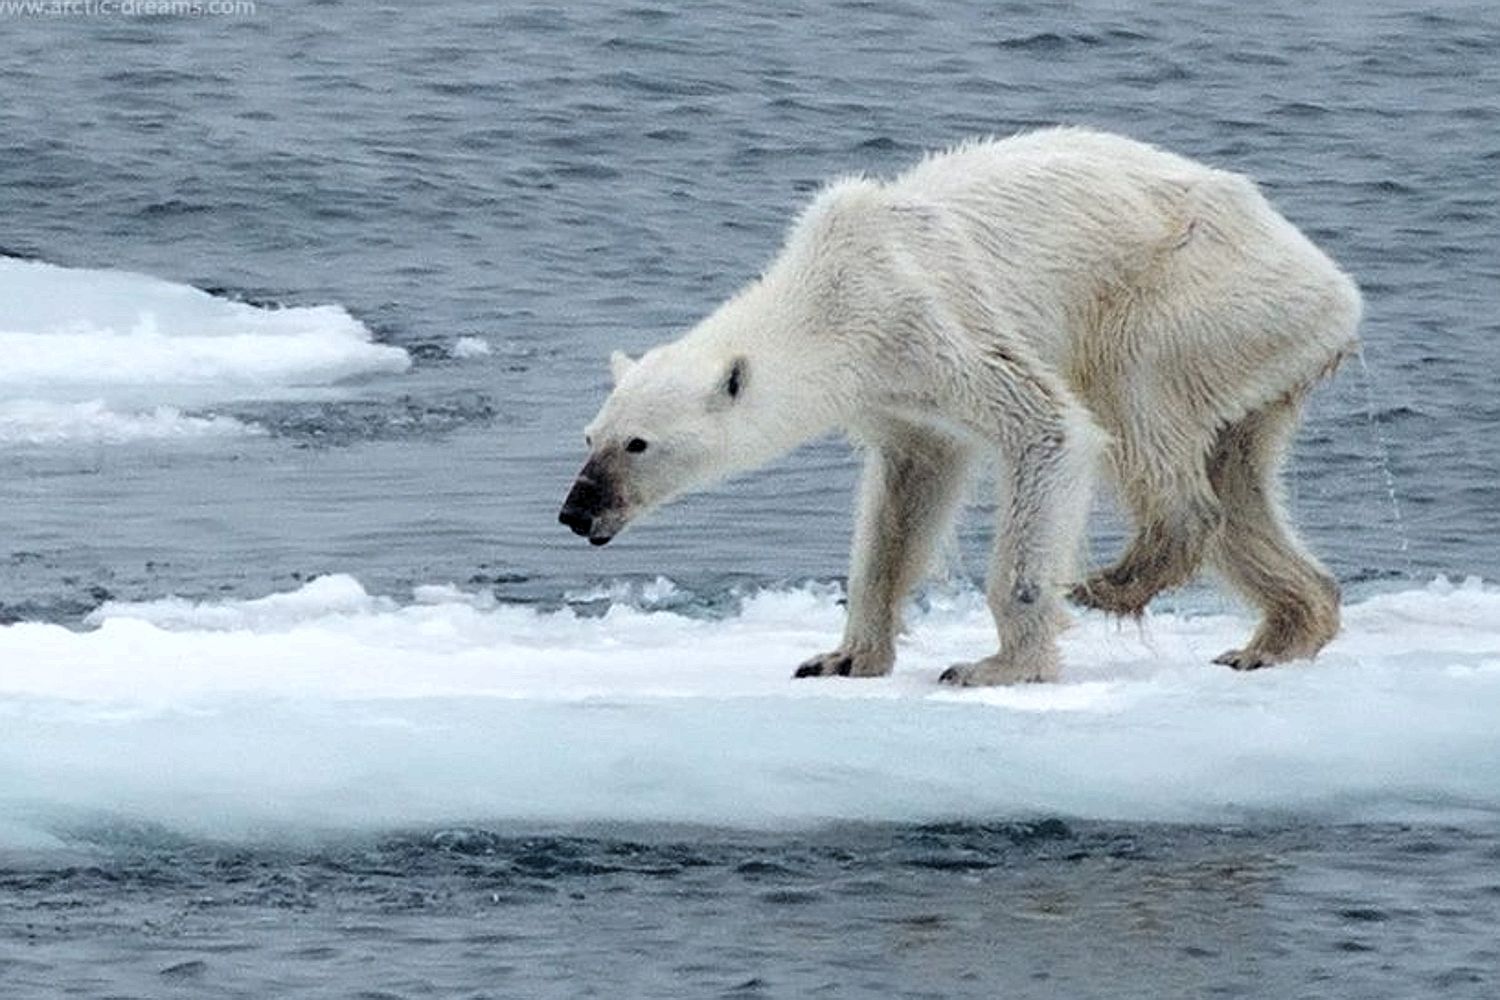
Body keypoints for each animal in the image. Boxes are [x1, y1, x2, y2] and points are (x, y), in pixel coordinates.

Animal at [561, 125, 1362, 689]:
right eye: (590, 435)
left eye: (637, 444)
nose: (576, 510)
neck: (831, 293)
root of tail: (1336, 287)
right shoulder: (894, 395)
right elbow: (904, 499)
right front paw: (841, 657)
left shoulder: (928, 320)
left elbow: (1050, 428)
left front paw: (997, 665)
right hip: (1259, 354)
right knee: (1238, 479)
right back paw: (1277, 635)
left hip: (1196, 295)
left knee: (1136, 398)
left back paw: (1117, 579)